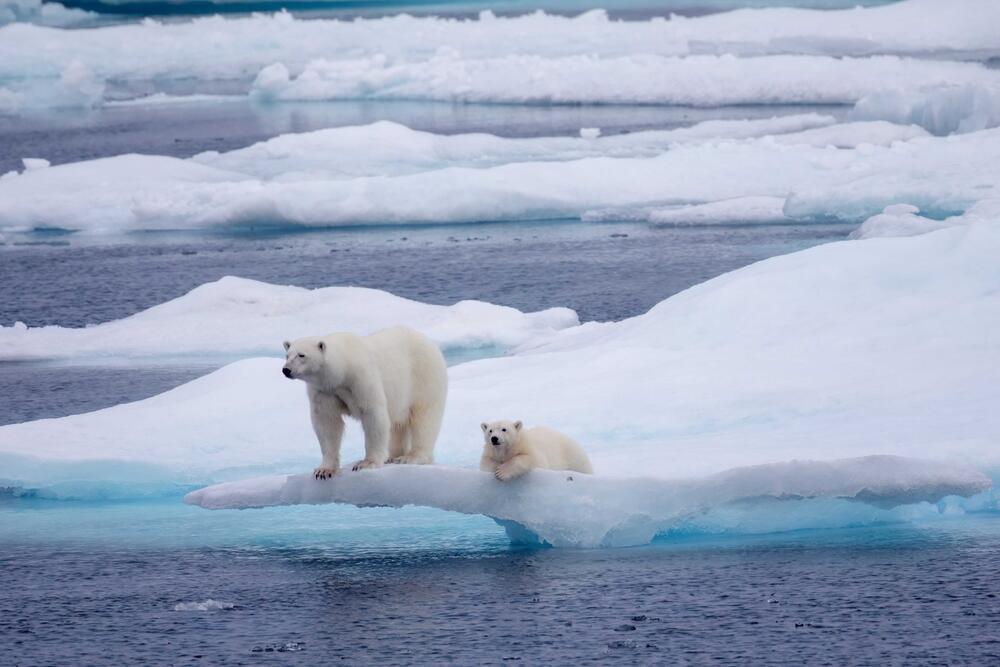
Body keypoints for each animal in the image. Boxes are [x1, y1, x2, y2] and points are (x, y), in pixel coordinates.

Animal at [286, 326, 450, 478]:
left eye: (301, 355)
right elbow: (327, 423)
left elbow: (373, 415)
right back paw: (392, 456)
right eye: (287, 355)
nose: (286, 369)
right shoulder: (325, 391)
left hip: (424, 378)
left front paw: (366, 463)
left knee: (424, 419)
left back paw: (410, 457)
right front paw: (324, 470)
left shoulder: (361, 377)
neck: (343, 367)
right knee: (398, 425)